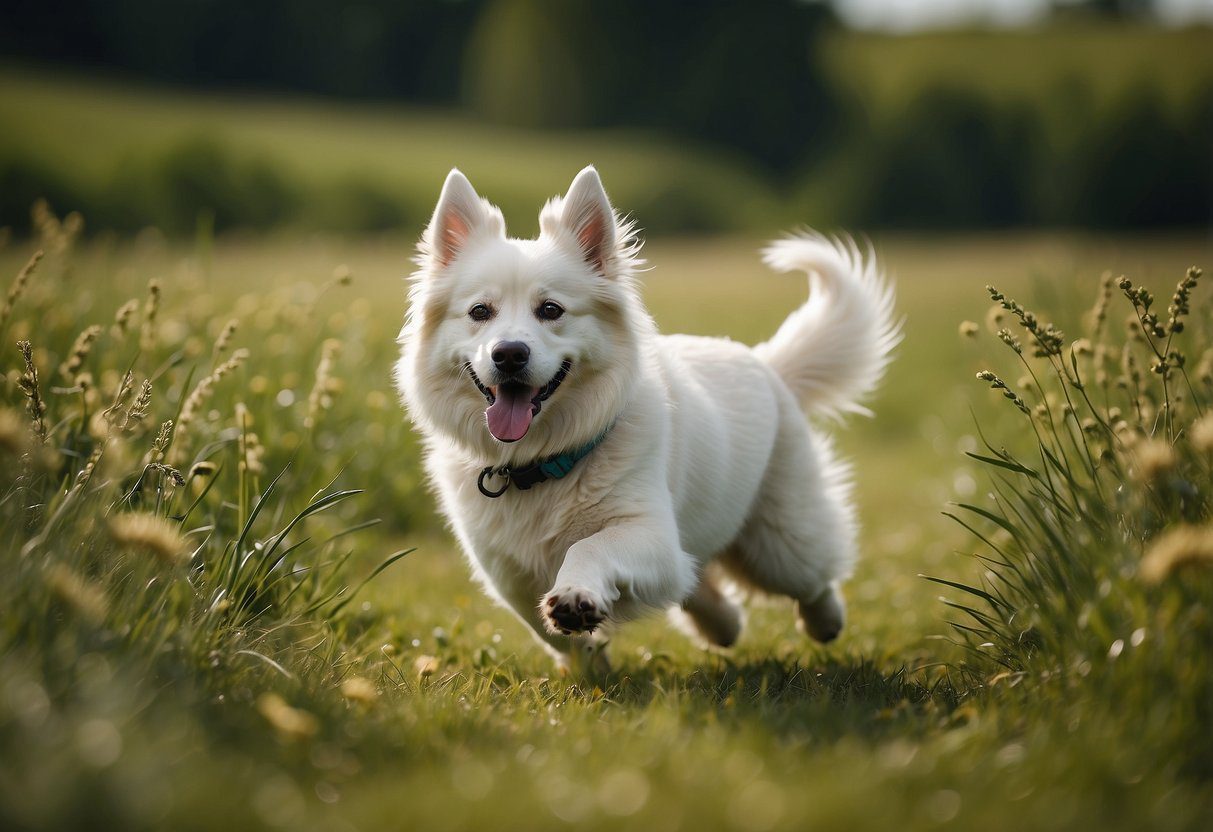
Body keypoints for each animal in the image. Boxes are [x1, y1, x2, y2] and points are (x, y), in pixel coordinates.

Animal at [393, 166, 897, 674]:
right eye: (480, 312)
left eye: (550, 310)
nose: (509, 354)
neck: (541, 462)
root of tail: (767, 363)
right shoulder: (507, 572)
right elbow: (543, 626)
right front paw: (589, 668)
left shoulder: (648, 532)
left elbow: (589, 546)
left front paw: (575, 598)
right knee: (694, 581)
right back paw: (723, 626)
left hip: (779, 545)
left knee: (811, 578)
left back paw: (825, 623)